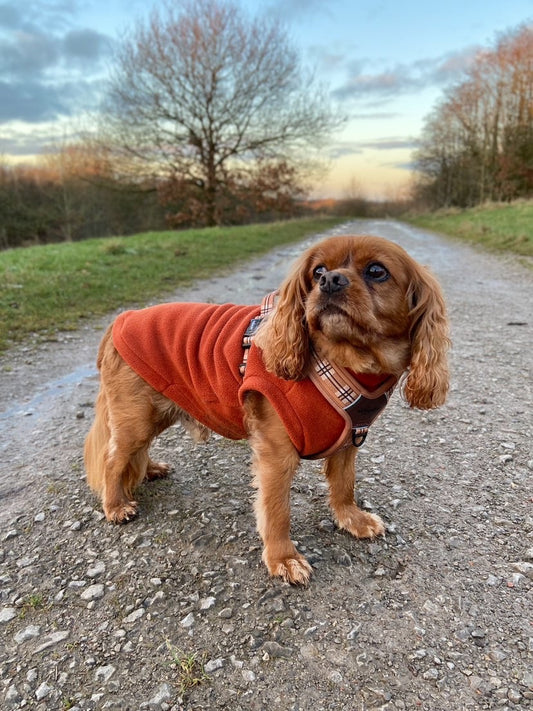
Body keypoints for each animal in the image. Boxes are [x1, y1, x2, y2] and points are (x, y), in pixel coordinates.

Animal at [84, 234, 448, 584]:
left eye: (377, 271)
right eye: (317, 270)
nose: (329, 280)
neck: (345, 362)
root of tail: (120, 320)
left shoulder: (349, 442)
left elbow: (345, 485)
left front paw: (351, 519)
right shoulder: (276, 454)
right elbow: (277, 511)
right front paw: (283, 558)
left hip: (153, 413)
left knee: (134, 453)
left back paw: (151, 469)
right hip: (137, 418)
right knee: (113, 459)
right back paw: (116, 506)